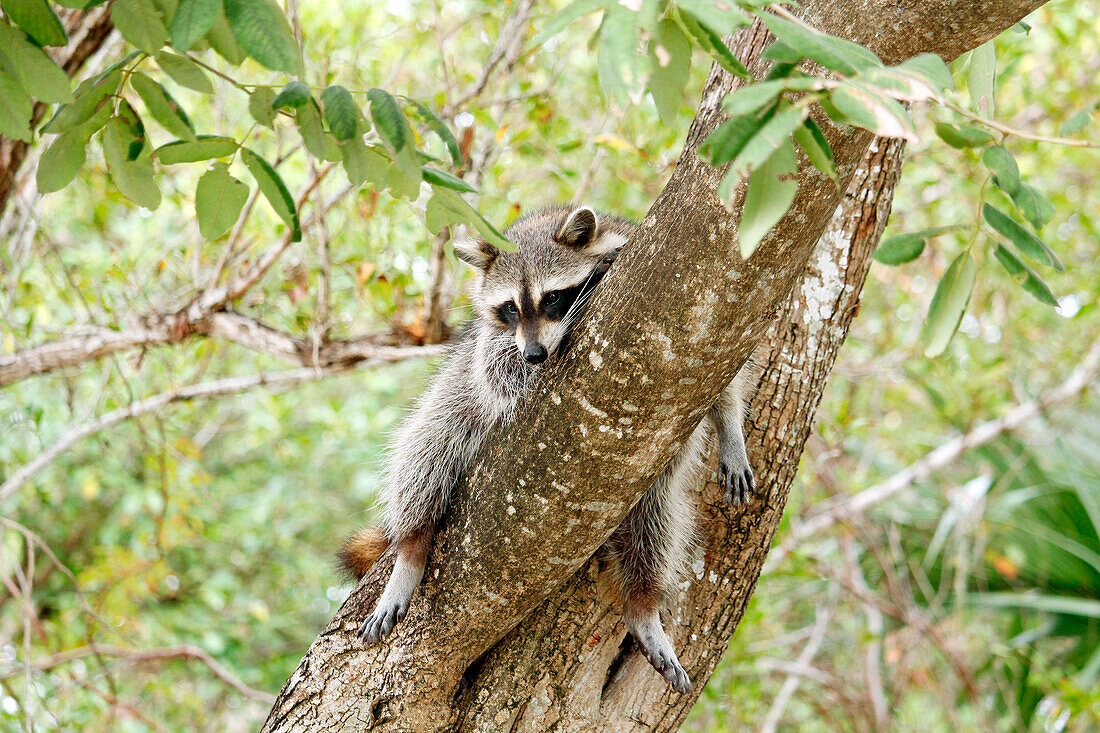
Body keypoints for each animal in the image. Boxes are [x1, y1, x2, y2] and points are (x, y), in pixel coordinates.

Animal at [343, 203, 756, 691]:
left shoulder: (710, 320)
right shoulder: (492, 345)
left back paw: (642, 601)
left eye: (552, 298)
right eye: (510, 308)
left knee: (655, 523)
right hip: (454, 398)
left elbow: (728, 374)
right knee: (427, 448)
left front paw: (730, 429)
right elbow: (497, 371)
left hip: (647, 476)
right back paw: (411, 548)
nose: (536, 354)